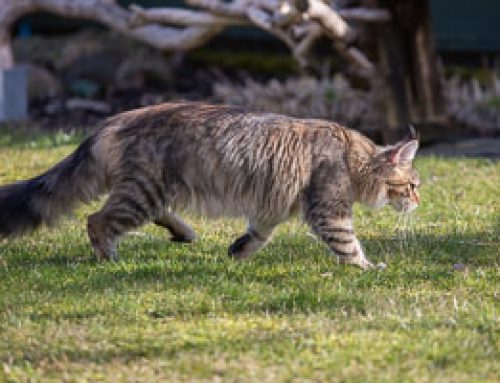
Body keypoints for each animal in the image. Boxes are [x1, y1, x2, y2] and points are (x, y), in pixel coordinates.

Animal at [0, 102, 422, 270]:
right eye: (413, 185)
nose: (420, 201)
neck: (354, 156)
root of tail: (112, 120)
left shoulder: (273, 207)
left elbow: (258, 234)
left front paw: (238, 251)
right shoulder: (328, 209)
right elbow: (348, 244)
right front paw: (368, 267)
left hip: (151, 190)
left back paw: (183, 232)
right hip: (143, 192)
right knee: (96, 220)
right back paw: (110, 257)